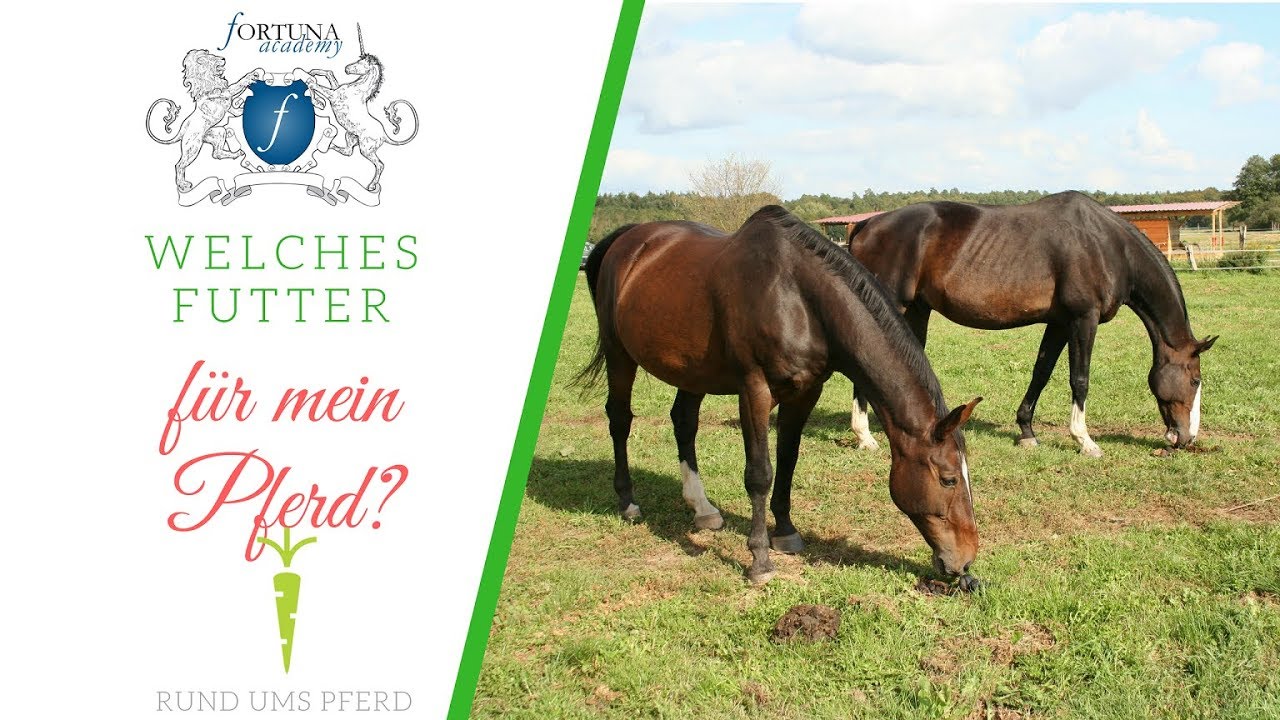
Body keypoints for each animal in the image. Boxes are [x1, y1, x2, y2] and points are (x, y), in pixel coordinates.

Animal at [580, 205, 983, 588]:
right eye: (948, 478)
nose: (965, 560)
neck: (797, 296)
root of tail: (628, 239)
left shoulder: (805, 392)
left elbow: (788, 460)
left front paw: (786, 532)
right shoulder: (754, 390)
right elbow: (760, 473)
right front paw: (760, 559)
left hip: (692, 371)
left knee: (683, 423)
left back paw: (702, 507)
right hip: (619, 354)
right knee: (620, 420)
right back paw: (628, 501)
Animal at [845, 191, 1217, 457]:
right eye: (1195, 379)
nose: (1187, 438)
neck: (1106, 245)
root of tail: (868, 224)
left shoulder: (1059, 323)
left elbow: (1042, 372)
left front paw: (1026, 431)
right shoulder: (1083, 319)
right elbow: (1079, 379)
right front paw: (1085, 440)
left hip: (917, 310)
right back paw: (865, 436)